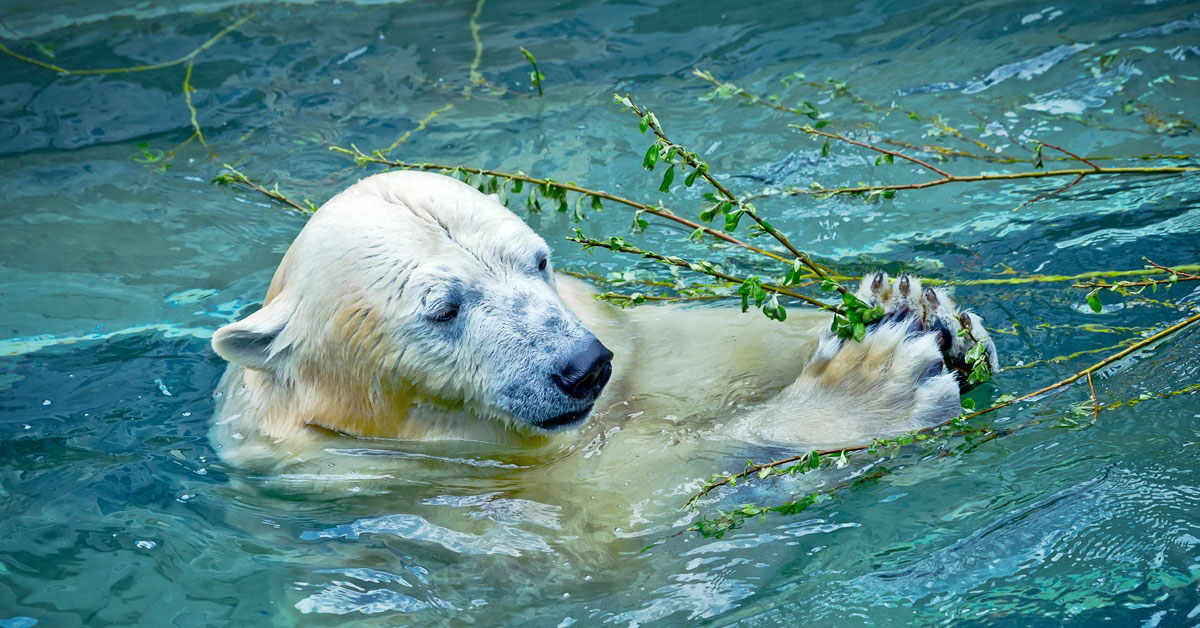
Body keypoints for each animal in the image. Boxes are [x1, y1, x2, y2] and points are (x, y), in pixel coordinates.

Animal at [208, 169, 993, 509]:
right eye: (445, 309)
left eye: (538, 260)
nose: (582, 367)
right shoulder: (393, 475)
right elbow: (617, 505)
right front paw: (870, 384)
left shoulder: (623, 345)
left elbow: (686, 349)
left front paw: (915, 308)